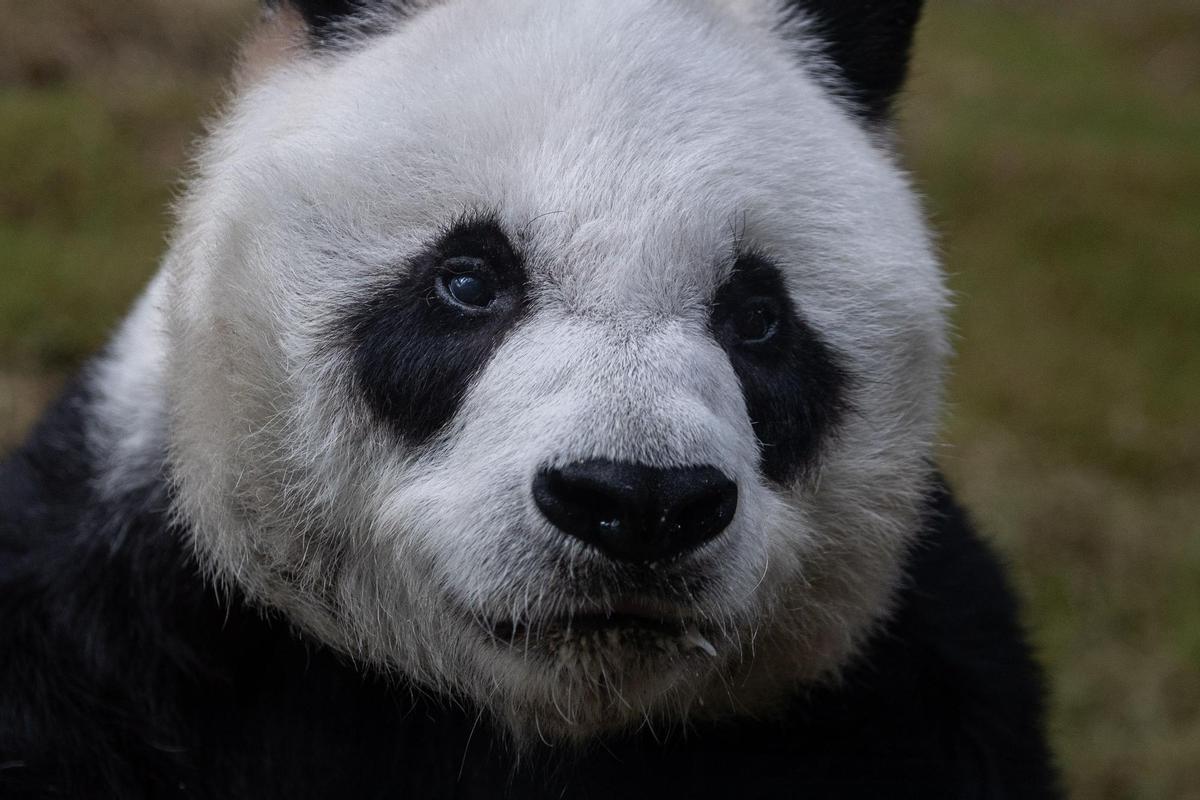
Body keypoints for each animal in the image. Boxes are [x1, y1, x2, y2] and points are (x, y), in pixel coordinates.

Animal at [0, 0, 1060, 797]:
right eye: (470, 280)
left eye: (759, 317)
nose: (639, 502)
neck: (533, 721)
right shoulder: (119, 637)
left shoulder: (917, 699)